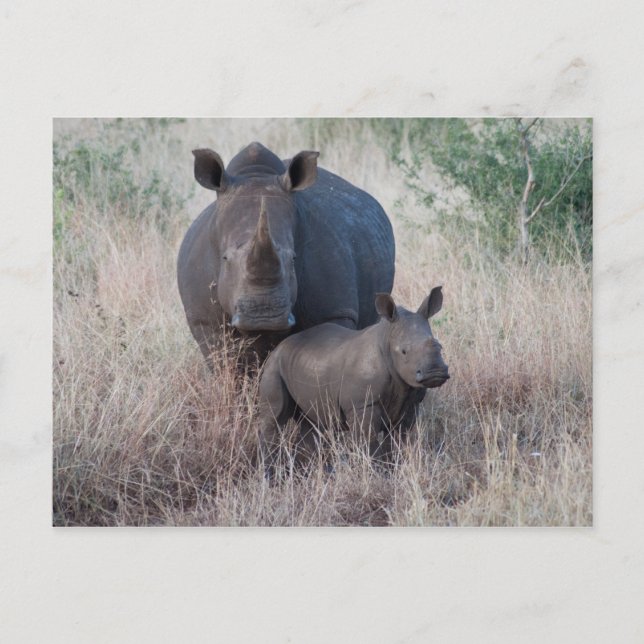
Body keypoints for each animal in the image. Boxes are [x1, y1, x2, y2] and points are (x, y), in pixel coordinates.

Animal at [177, 142, 395, 365]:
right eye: (225, 259)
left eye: (293, 259)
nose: (263, 316)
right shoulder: (204, 321)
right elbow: (225, 362)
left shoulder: (335, 312)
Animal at [257, 287, 449, 475]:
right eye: (403, 352)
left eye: (440, 347)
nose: (436, 373)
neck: (387, 338)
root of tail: (281, 344)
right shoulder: (362, 404)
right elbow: (368, 440)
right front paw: (375, 474)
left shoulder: (411, 402)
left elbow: (399, 439)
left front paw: (393, 470)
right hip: (274, 363)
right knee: (275, 418)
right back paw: (269, 474)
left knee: (311, 423)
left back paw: (306, 473)